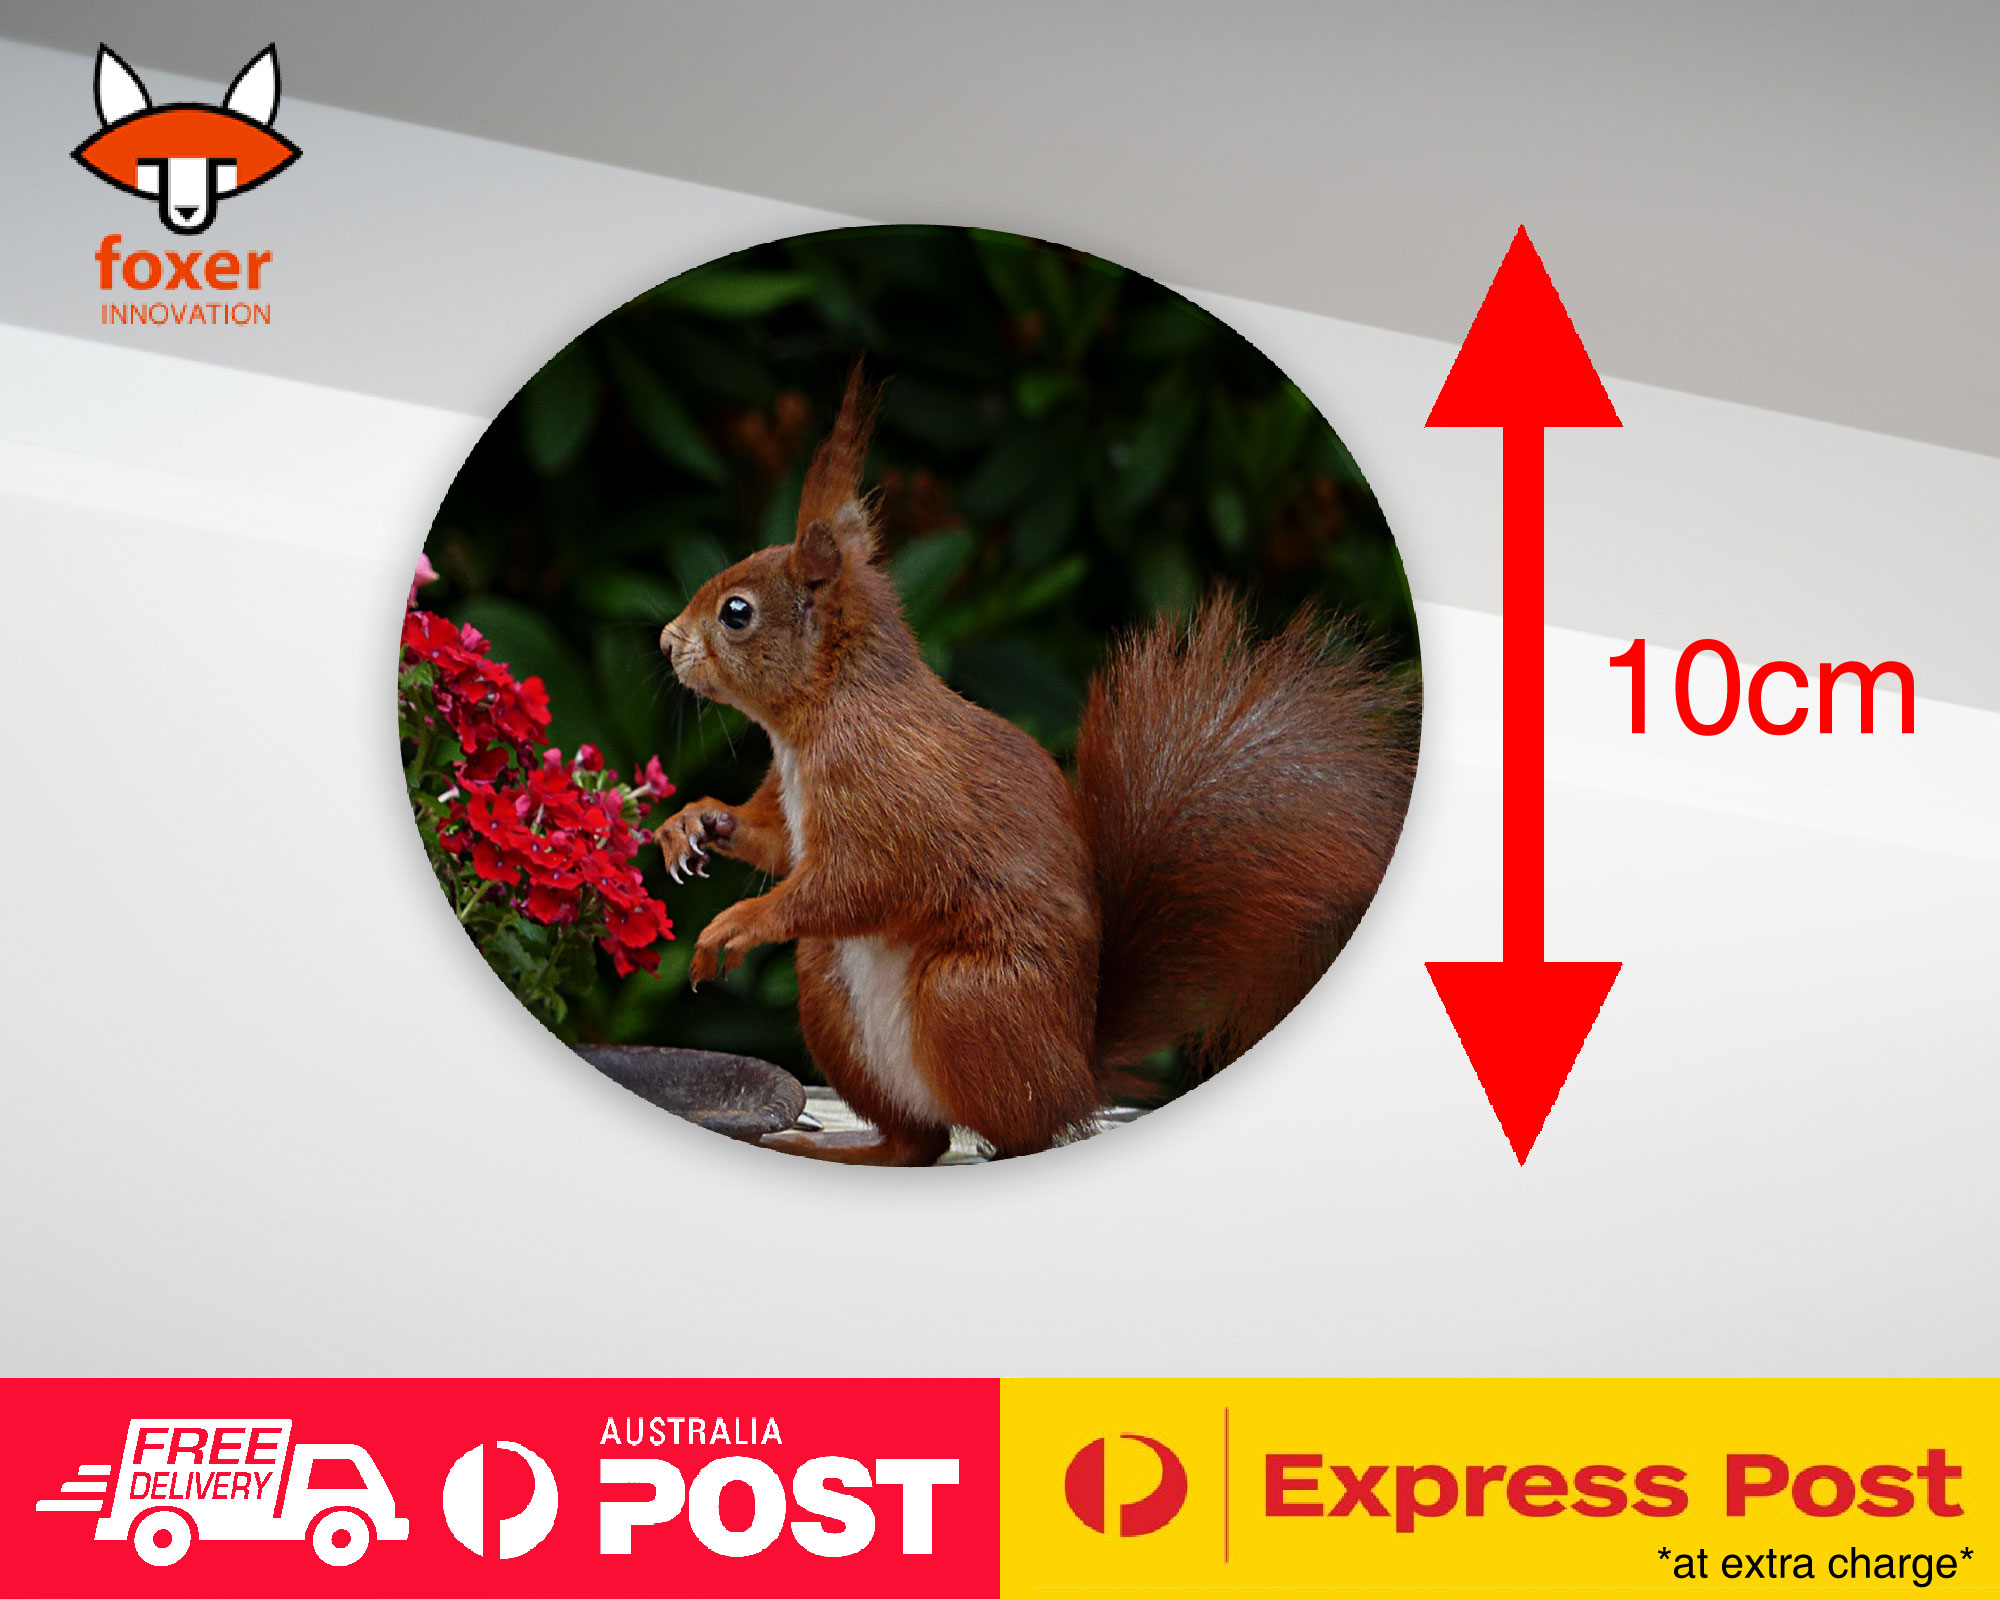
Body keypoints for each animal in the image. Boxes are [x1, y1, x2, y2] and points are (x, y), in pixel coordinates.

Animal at [654, 363, 1418, 1164]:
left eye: (737, 613)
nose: (667, 641)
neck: (820, 716)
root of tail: (1076, 1075)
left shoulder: (891, 789)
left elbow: (861, 880)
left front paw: (738, 921)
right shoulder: (793, 799)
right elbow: (776, 843)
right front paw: (694, 824)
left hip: (969, 997)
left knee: (1017, 1132)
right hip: (831, 987)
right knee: (918, 1142)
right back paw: (841, 1147)